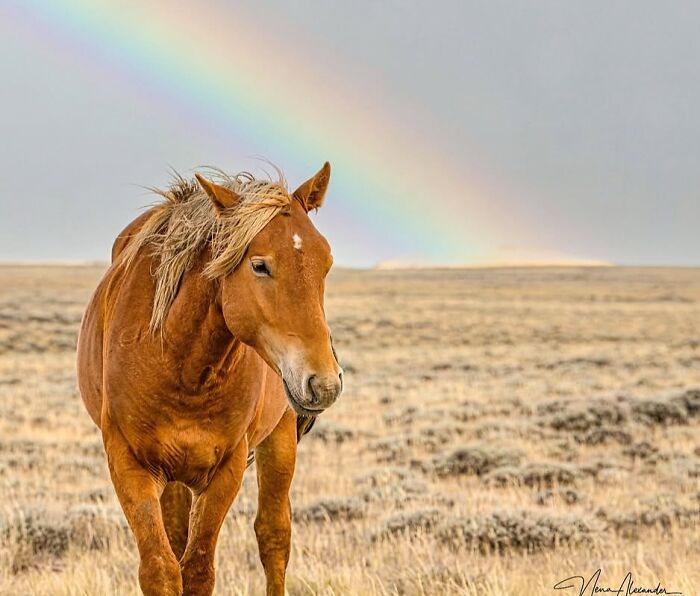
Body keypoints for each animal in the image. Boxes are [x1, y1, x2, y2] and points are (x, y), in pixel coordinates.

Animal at [76, 162, 343, 596]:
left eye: (326, 262)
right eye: (259, 264)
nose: (324, 383)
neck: (182, 367)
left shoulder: (225, 469)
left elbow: (199, 569)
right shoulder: (129, 463)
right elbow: (161, 568)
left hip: (279, 437)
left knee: (273, 538)